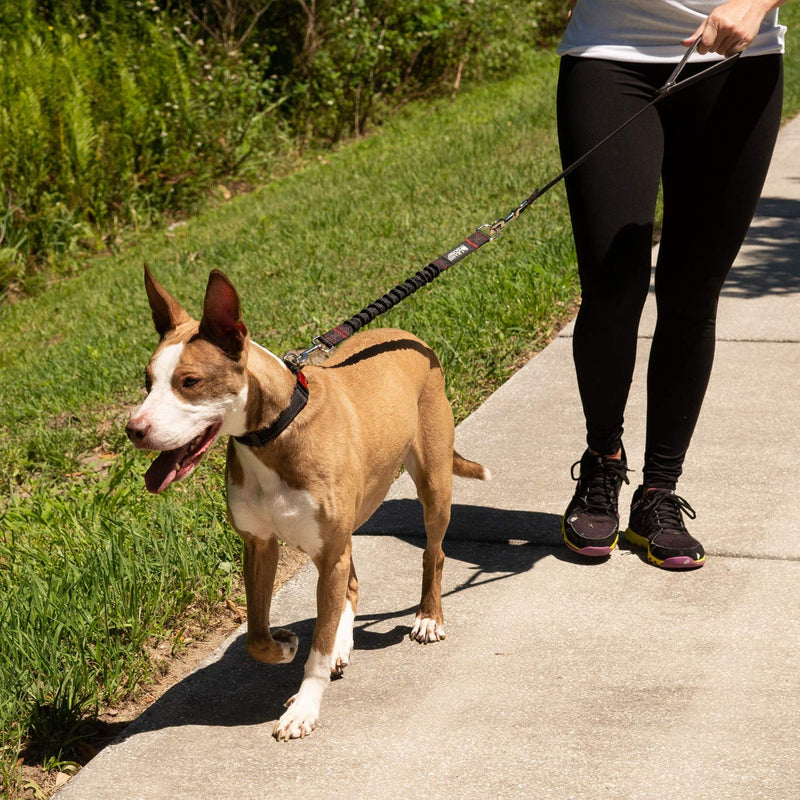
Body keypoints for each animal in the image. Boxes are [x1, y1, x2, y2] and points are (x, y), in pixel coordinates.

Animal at [126, 268, 488, 736]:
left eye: (189, 382)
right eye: (147, 382)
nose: (134, 429)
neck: (273, 434)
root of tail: (408, 337)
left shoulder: (329, 551)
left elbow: (314, 649)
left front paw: (304, 707)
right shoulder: (260, 546)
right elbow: (256, 635)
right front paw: (285, 646)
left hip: (433, 483)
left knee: (434, 553)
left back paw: (427, 616)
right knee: (351, 585)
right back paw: (342, 642)